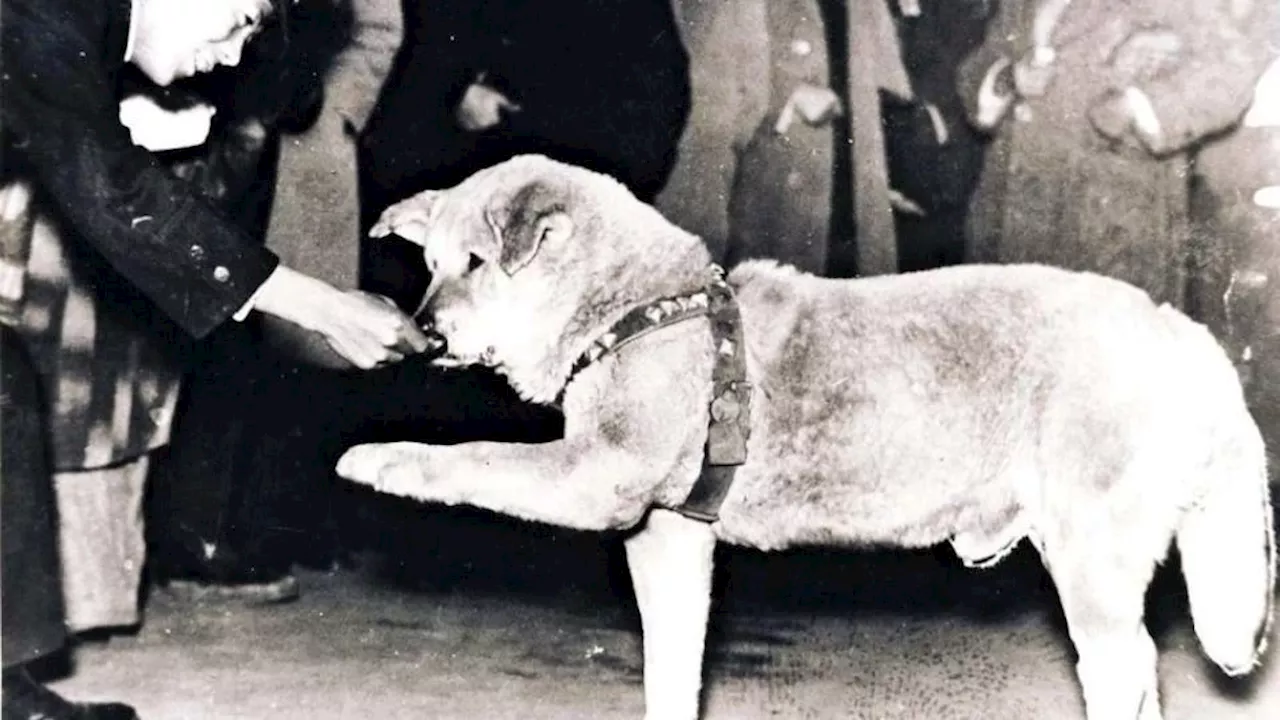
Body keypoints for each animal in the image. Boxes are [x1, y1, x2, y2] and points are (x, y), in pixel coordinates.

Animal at [335, 154, 1274, 712]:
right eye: (430, 266)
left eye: (477, 264)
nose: (427, 334)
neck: (638, 306)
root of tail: (1183, 335)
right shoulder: (668, 538)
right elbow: (673, 667)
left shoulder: (595, 478)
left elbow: (473, 458)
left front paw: (384, 459)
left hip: (1090, 560)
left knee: (1127, 669)